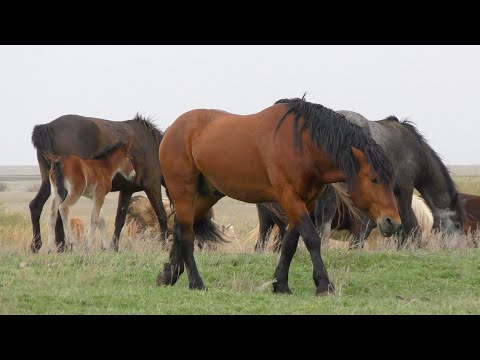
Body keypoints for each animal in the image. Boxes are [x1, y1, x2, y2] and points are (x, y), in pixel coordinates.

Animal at [158, 95, 402, 296]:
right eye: (374, 179)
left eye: (391, 180)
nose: (392, 222)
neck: (302, 145)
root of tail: (172, 129)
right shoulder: (289, 197)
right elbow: (311, 239)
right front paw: (324, 285)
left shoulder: (305, 201)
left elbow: (290, 244)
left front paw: (281, 285)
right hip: (184, 191)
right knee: (187, 235)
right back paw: (196, 283)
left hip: (207, 195)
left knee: (179, 229)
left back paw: (169, 275)